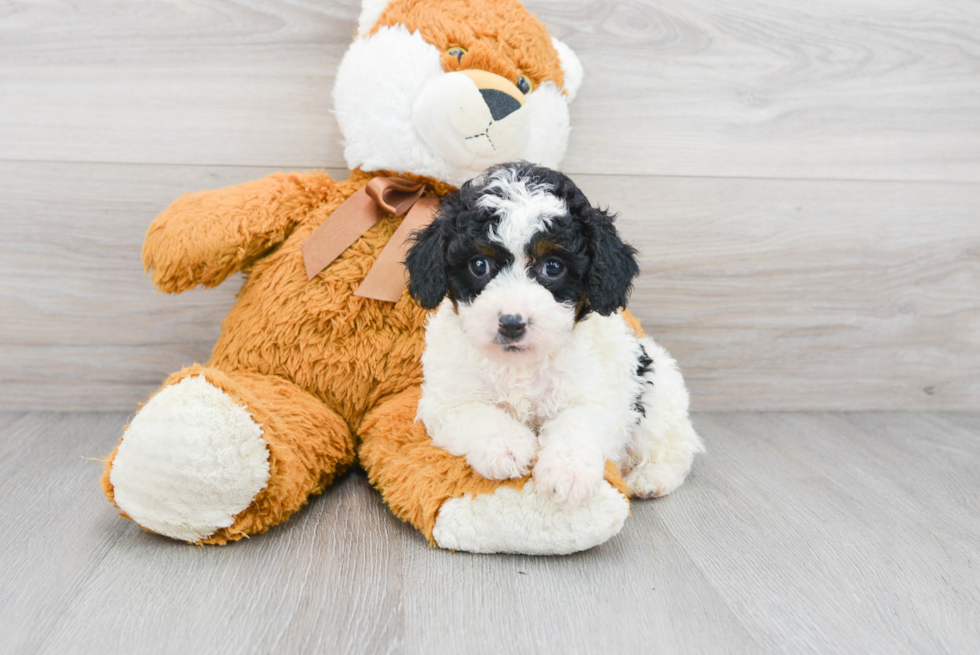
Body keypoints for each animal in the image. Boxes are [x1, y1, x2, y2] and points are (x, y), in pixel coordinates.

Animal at [406, 164, 704, 508]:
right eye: (479, 265)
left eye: (552, 266)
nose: (512, 323)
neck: (522, 364)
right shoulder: (448, 399)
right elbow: (478, 414)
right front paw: (506, 448)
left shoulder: (599, 394)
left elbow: (578, 422)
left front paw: (567, 474)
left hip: (657, 401)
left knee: (675, 448)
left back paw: (650, 479)